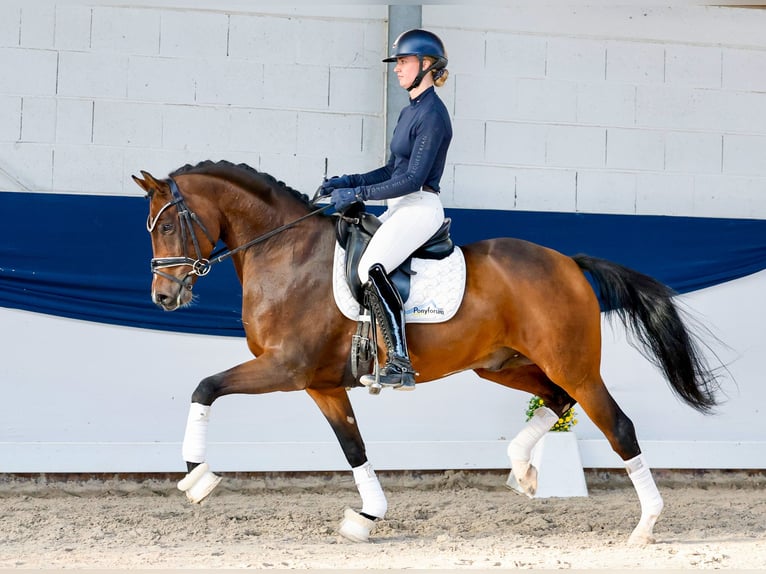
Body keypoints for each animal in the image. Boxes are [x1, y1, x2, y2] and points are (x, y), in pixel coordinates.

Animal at [132, 160, 720, 546]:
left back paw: (645, 526)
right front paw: (367, 517)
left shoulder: (285, 367)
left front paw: (198, 476)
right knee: (556, 401)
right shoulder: (321, 384)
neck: (284, 253)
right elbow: (353, 447)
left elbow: (206, 387)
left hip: (573, 365)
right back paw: (522, 472)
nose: (163, 298)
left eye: (169, 224)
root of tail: (568, 262)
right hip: (502, 365)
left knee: (616, 424)